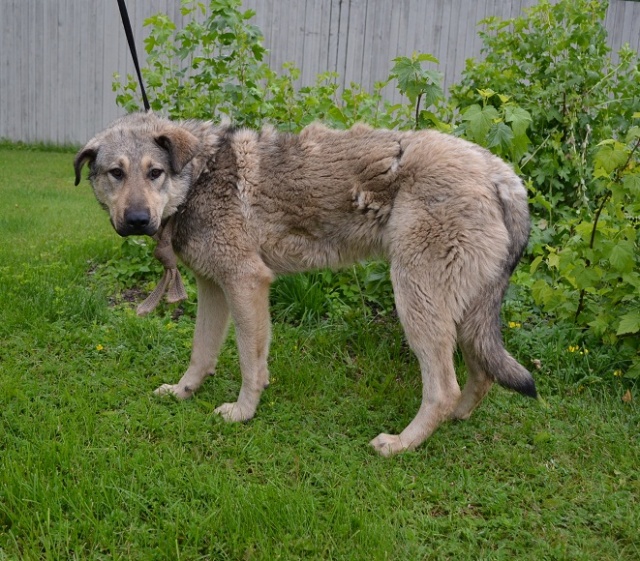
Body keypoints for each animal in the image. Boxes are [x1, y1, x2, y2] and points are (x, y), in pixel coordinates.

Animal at [74, 112, 536, 456]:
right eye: (115, 173)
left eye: (154, 172)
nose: (137, 221)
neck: (199, 176)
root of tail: (502, 174)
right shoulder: (213, 288)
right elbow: (201, 354)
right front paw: (183, 392)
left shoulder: (246, 284)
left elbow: (250, 364)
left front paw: (242, 413)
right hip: (459, 312)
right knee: (481, 373)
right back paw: (457, 418)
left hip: (417, 304)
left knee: (443, 389)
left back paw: (401, 444)